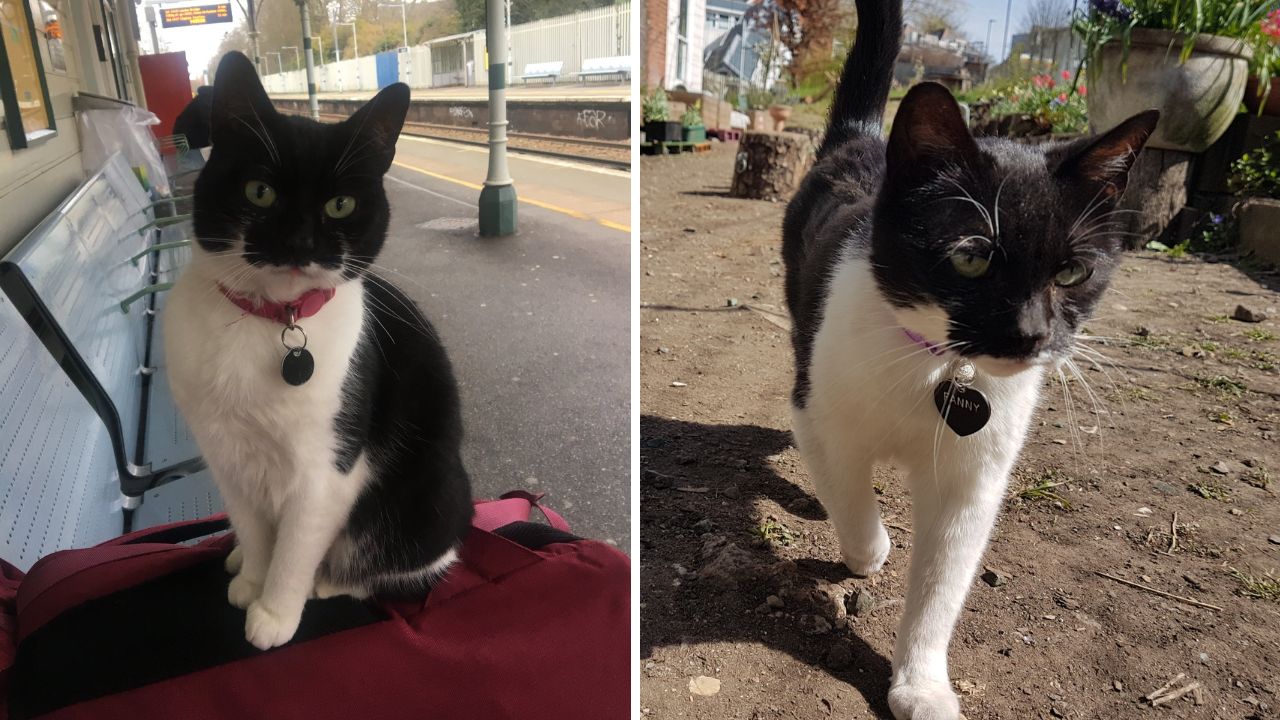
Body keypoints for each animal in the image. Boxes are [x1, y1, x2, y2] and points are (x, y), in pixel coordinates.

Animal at [165, 49, 473, 645]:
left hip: (430, 496)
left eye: (340, 205)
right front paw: (251, 579)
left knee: (407, 563)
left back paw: (327, 583)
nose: (300, 242)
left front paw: (275, 612)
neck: (270, 320)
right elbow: (255, 531)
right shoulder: (225, 452)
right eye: (259, 191)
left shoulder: (326, 471)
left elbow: (294, 548)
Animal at [778, 2, 1162, 712]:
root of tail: (863, 140)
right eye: (972, 257)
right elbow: (849, 490)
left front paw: (921, 685)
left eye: (1073, 272)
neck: (935, 366)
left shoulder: (974, 476)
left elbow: (941, 583)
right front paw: (868, 550)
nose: (1030, 334)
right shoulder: (818, 409)